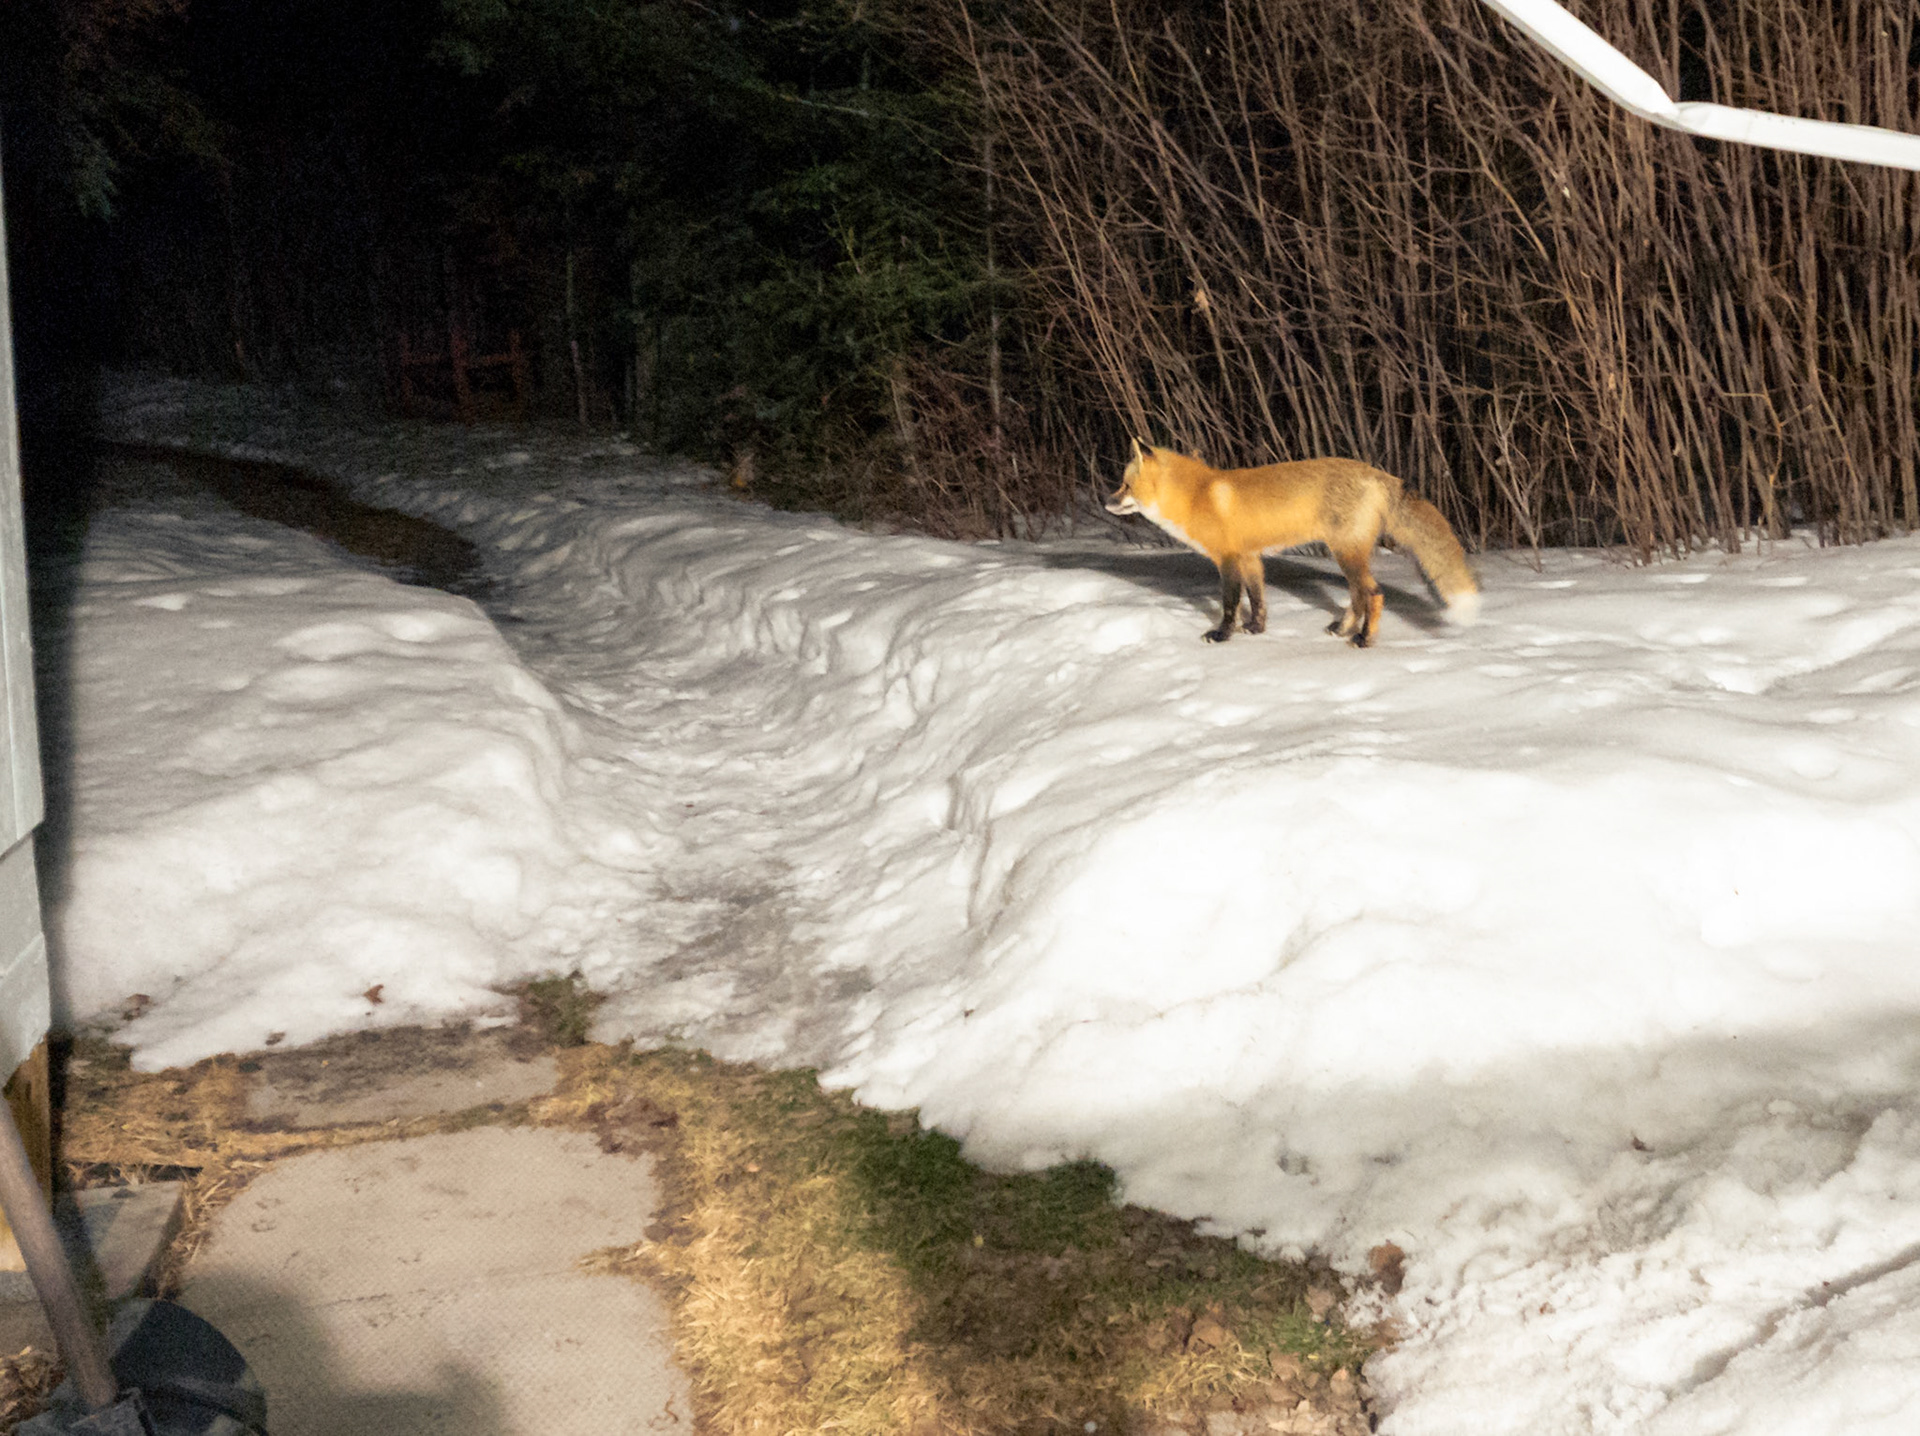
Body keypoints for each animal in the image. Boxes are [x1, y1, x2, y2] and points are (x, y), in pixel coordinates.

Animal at [1104, 440, 1480, 646]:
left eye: (1125, 486)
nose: (1106, 502)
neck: (1196, 496)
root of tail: (1380, 473)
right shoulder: (1251, 557)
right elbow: (1258, 600)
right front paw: (1256, 629)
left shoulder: (1228, 559)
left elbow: (1229, 605)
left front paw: (1222, 636)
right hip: (1347, 555)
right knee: (1358, 597)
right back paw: (1343, 629)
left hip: (1346, 553)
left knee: (1373, 595)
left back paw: (1362, 640)